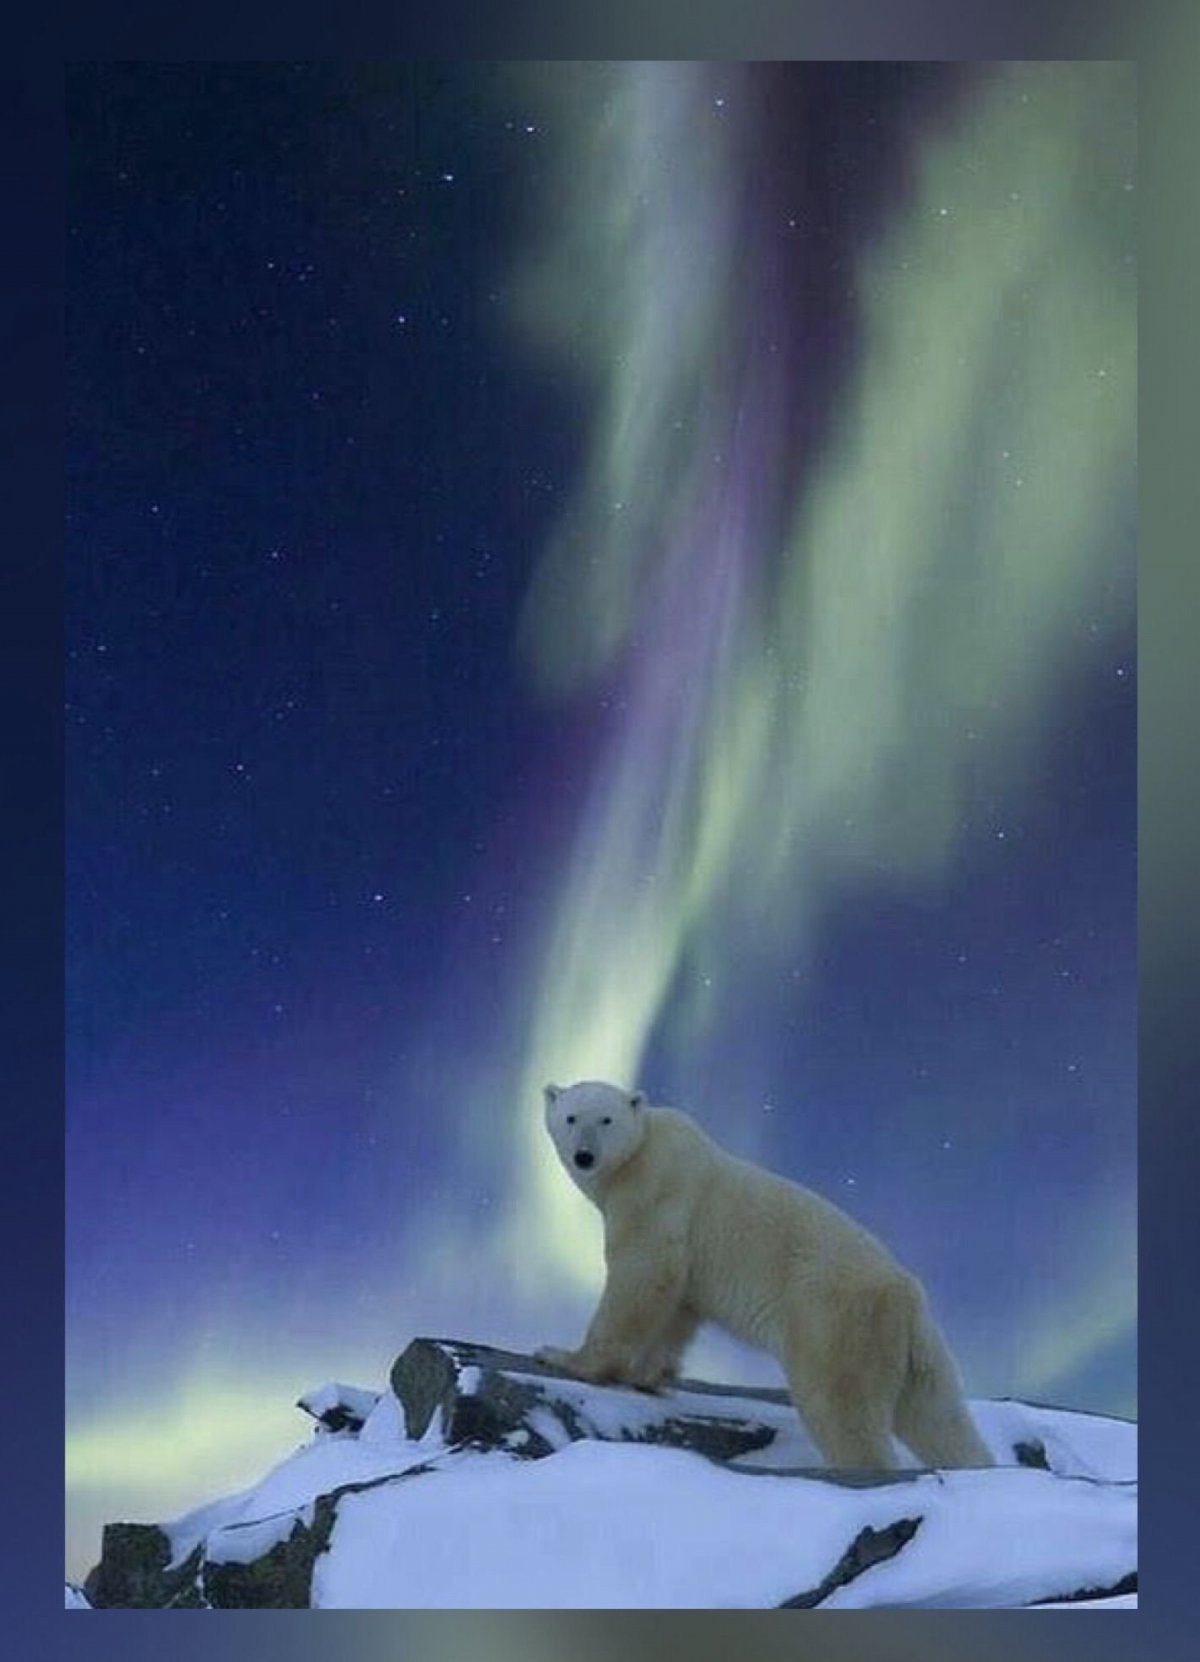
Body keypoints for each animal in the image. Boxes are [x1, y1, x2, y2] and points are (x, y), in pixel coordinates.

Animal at [536, 1080, 993, 1471]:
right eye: (571, 1117)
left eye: (605, 1119)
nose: (585, 1156)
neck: (641, 1152)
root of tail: (907, 1294)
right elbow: (679, 1304)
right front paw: (649, 1376)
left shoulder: (655, 1193)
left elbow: (643, 1274)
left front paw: (566, 1357)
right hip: (917, 1348)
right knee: (938, 1416)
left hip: (836, 1319)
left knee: (839, 1404)